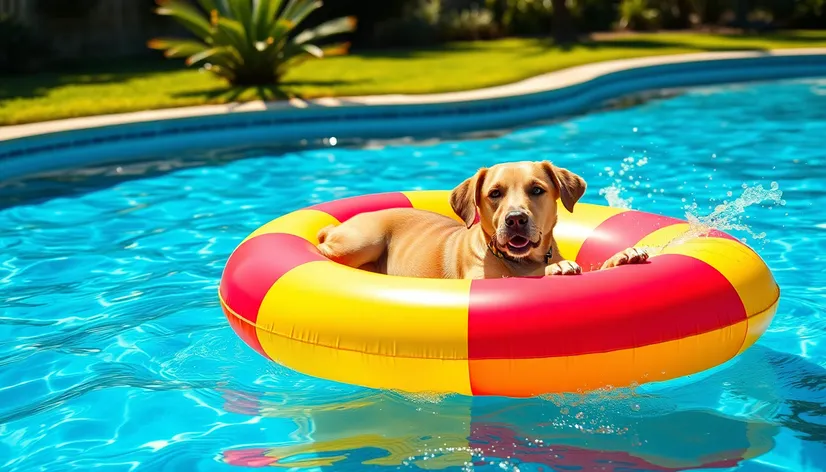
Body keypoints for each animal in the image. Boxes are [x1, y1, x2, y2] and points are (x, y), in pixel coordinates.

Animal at [318, 160, 648, 278]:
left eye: (537, 189)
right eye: (494, 193)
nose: (515, 219)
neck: (522, 261)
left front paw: (623, 256)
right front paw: (557, 268)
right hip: (363, 241)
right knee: (324, 250)